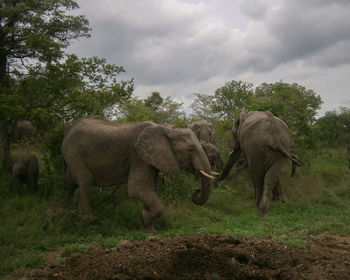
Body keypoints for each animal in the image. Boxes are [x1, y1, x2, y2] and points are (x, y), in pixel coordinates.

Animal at [61, 117, 215, 233]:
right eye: (191, 149)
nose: (197, 191)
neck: (167, 129)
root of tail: (69, 129)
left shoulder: (150, 159)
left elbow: (151, 190)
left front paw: (149, 229)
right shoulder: (138, 156)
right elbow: (138, 188)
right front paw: (145, 218)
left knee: (70, 181)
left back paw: (66, 207)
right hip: (73, 151)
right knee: (85, 180)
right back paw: (87, 219)